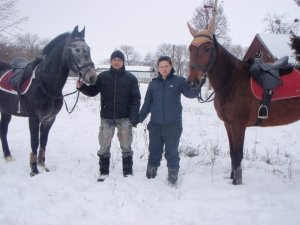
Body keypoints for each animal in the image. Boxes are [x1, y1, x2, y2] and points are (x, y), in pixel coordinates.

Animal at [0, 25, 96, 175]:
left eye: (89, 48)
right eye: (77, 50)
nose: (92, 76)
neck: (45, 84)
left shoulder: (49, 119)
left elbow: (43, 142)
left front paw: (43, 166)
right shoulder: (34, 119)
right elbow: (34, 142)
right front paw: (34, 170)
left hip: (6, 111)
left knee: (3, 130)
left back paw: (8, 156)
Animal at [188, 24, 300, 185]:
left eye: (207, 49)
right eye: (190, 48)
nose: (193, 82)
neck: (231, 79)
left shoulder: (238, 126)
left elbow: (237, 154)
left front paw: (237, 181)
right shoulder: (228, 125)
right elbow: (232, 153)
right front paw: (232, 177)